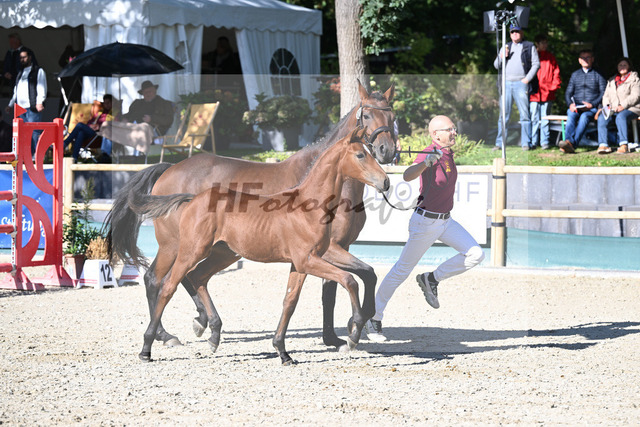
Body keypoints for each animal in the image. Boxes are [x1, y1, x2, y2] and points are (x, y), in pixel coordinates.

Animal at [105, 81, 396, 351]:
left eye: (392, 115)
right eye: (366, 114)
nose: (387, 151)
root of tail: (168, 169)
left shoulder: (337, 247)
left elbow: (350, 283)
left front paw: (341, 333)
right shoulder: (331, 248)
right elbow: (353, 280)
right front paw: (352, 327)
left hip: (222, 251)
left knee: (193, 277)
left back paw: (202, 324)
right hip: (174, 245)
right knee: (157, 279)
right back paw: (167, 335)